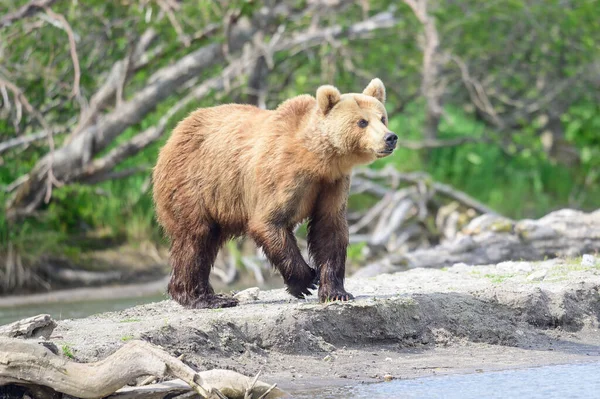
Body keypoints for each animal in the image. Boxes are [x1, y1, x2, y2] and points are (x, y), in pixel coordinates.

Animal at [154, 78, 398, 310]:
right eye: (362, 122)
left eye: (382, 118)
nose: (390, 137)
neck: (318, 160)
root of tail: (174, 134)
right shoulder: (280, 175)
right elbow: (268, 222)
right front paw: (306, 280)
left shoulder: (332, 183)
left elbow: (330, 229)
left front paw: (336, 292)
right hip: (194, 185)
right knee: (195, 239)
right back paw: (204, 298)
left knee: (206, 243)